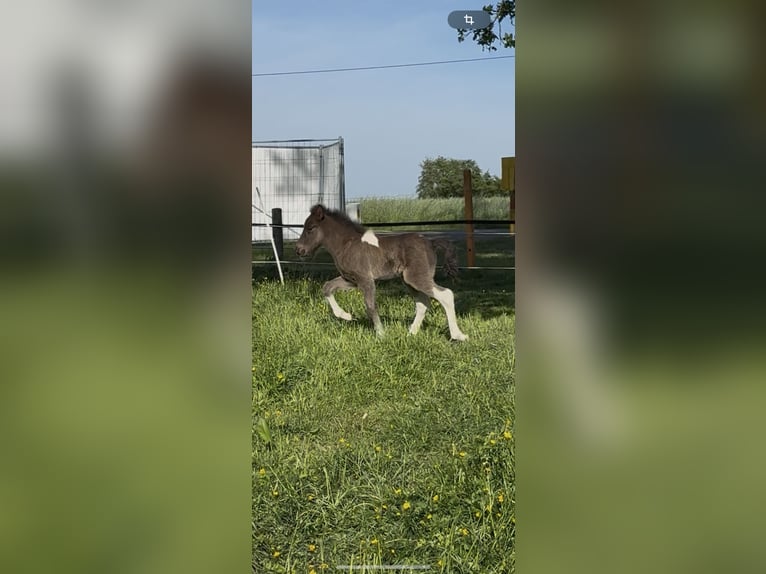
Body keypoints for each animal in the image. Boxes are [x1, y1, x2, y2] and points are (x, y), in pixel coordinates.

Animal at [295, 204, 468, 341]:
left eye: (310, 228)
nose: (299, 250)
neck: (347, 244)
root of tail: (431, 242)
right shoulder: (350, 279)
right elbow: (327, 287)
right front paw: (346, 316)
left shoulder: (366, 280)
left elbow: (370, 306)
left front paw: (381, 334)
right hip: (409, 281)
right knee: (422, 303)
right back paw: (411, 334)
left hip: (416, 278)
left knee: (446, 295)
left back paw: (458, 335)